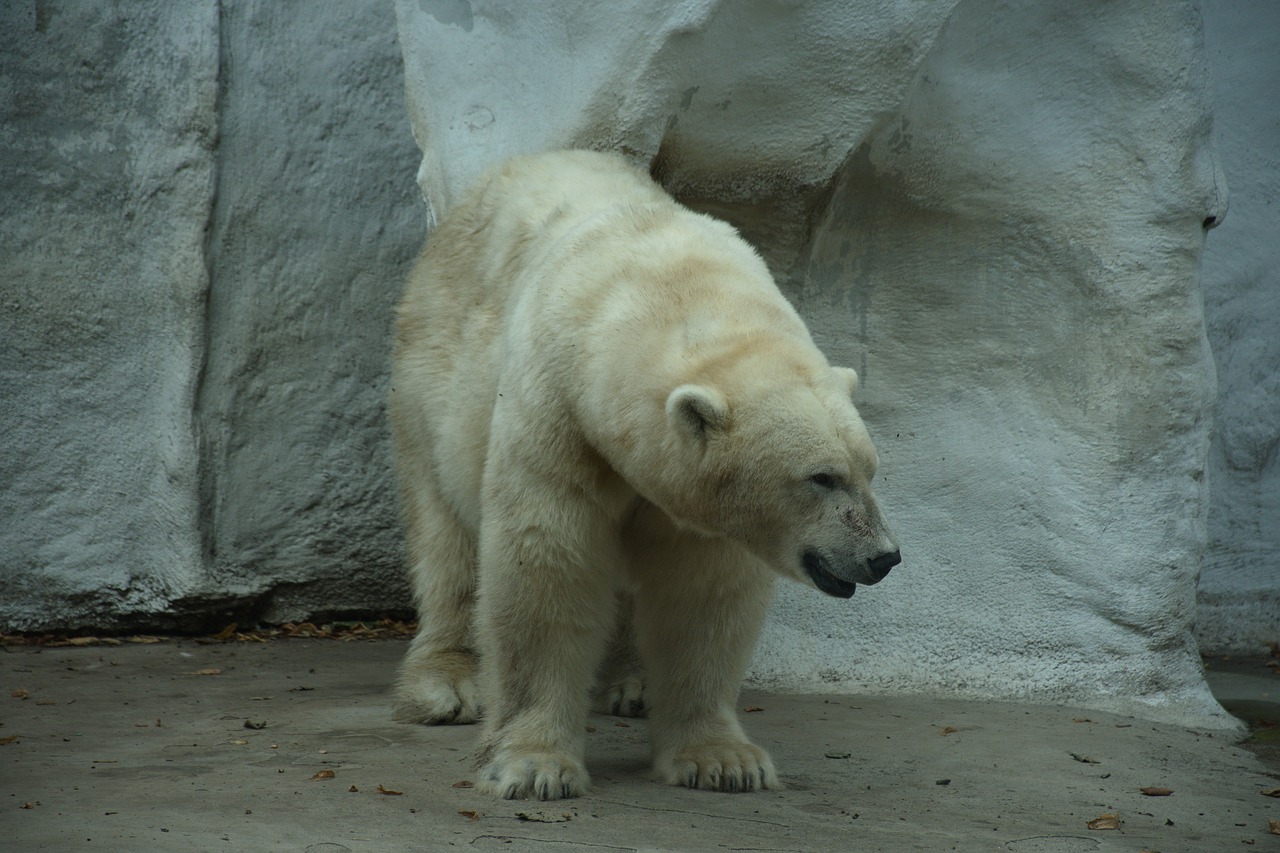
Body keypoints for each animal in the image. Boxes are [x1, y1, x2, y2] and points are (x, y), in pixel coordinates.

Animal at [389, 147, 901, 799]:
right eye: (822, 477)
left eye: (870, 470)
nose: (883, 556)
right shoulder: (559, 414)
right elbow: (547, 561)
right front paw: (532, 766)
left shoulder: (689, 498)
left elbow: (701, 594)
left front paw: (723, 761)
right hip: (431, 376)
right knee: (444, 530)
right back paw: (446, 685)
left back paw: (631, 685)